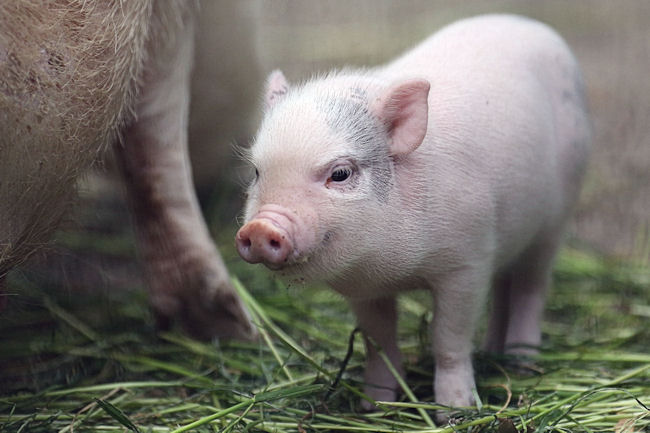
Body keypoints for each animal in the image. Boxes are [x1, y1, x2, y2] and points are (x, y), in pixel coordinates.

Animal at [235, 16, 588, 416]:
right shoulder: (363, 288)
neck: (398, 269)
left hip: (557, 217)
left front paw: (455, 411)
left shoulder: (467, 262)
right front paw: (374, 406)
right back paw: (494, 352)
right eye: (257, 173)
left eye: (340, 174)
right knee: (504, 286)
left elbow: (448, 339)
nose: (261, 226)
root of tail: (534, 26)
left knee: (532, 287)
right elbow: (378, 340)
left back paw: (521, 363)